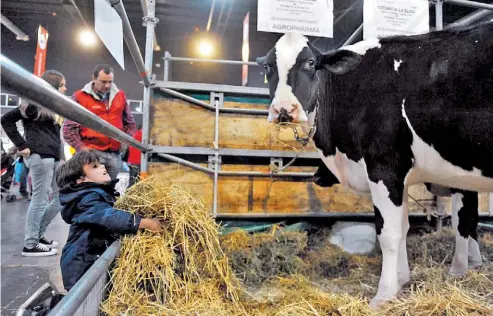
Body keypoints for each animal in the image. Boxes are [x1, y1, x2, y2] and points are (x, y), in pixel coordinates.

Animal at [258, 22, 492, 306]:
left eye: (311, 63)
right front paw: (403, 281)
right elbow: (404, 227)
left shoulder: (385, 166)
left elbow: (390, 233)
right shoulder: (402, 177)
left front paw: (384, 294)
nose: (283, 110)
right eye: (268, 68)